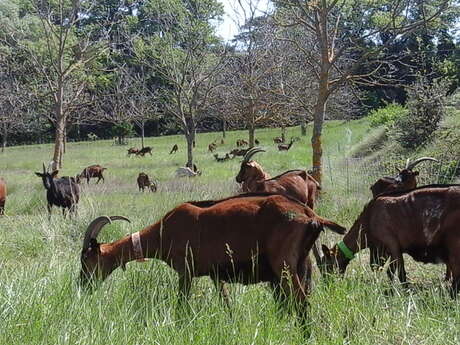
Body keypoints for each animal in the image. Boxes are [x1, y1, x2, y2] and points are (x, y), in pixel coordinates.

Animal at [318, 185, 460, 296]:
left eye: (326, 266)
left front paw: (404, 291)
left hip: (454, 244)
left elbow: (399, 272)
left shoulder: (392, 244)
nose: (327, 284)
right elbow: (390, 272)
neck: (369, 219)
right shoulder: (385, 250)